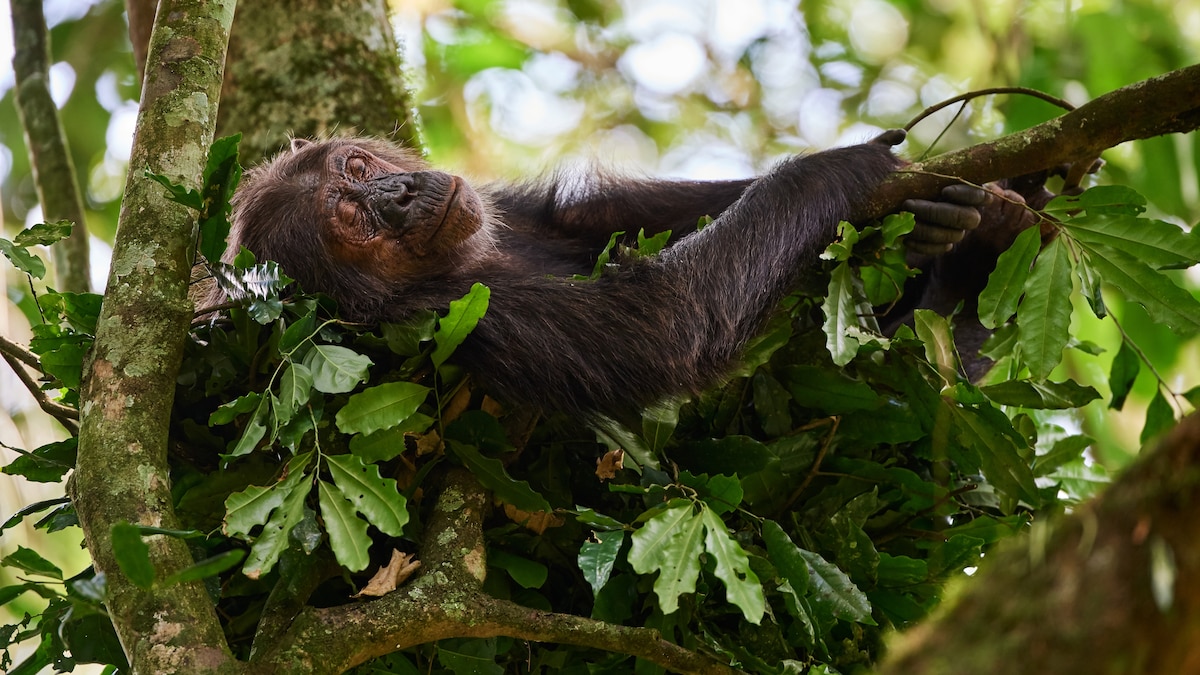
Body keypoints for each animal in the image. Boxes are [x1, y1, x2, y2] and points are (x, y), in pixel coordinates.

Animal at [220, 130, 1017, 415]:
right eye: (351, 219)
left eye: (358, 168)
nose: (398, 194)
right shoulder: (466, 315)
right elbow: (662, 318)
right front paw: (841, 167)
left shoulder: (509, 209)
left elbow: (608, 219)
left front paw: (933, 211)